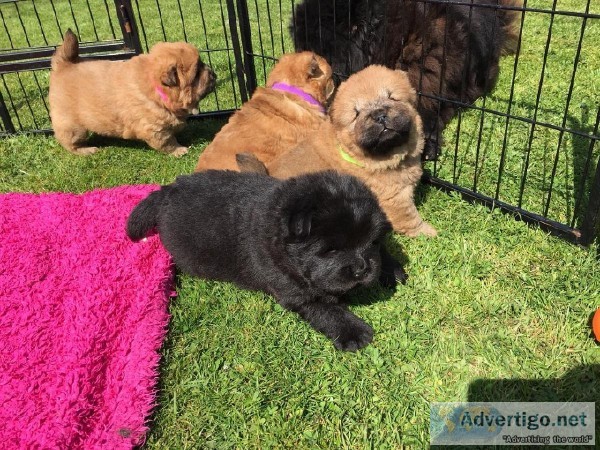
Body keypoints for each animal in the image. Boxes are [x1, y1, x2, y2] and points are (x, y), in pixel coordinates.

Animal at [49, 29, 216, 156]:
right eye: (196, 74)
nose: (213, 73)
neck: (155, 90)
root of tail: (63, 66)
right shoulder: (155, 128)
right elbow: (167, 141)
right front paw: (179, 150)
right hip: (73, 126)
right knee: (69, 142)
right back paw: (87, 150)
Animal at [128, 171, 406, 350]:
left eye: (372, 242)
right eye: (331, 250)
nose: (362, 269)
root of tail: (167, 190)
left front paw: (391, 269)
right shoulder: (293, 288)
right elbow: (326, 309)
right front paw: (354, 331)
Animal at [239, 65, 436, 239]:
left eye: (392, 98)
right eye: (356, 114)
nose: (379, 115)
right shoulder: (395, 199)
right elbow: (410, 218)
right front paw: (431, 233)